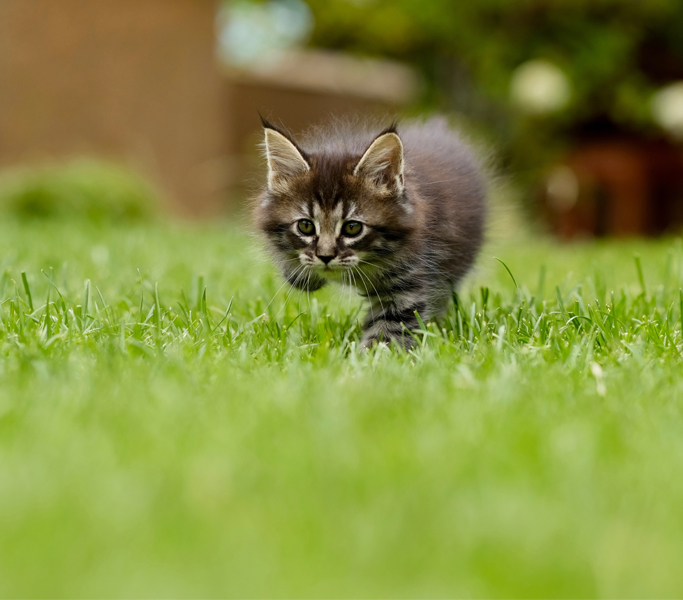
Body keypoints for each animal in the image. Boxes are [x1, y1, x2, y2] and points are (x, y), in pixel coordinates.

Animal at [255, 117, 486, 350]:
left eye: (352, 228)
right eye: (306, 226)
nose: (325, 256)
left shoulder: (406, 282)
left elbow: (389, 330)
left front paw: (370, 356)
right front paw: (302, 274)